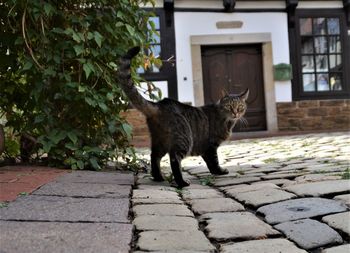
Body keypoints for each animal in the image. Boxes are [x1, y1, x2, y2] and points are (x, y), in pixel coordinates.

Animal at [119, 47, 249, 188]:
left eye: (240, 106)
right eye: (229, 106)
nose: (235, 113)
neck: (227, 121)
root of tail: (161, 103)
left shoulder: (205, 148)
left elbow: (210, 163)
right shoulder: (211, 146)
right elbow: (214, 162)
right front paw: (220, 171)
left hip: (160, 141)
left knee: (154, 157)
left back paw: (159, 177)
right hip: (184, 139)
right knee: (174, 159)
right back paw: (181, 182)